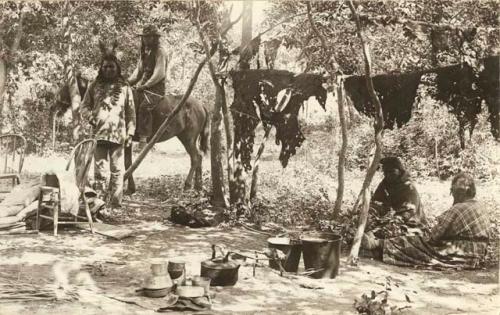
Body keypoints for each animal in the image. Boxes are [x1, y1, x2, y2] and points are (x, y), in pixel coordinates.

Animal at [50, 68, 207, 194]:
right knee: (199, 157)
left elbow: (126, 163)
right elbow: (127, 162)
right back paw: (198, 186)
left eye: (65, 86)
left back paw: (188, 185)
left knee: (195, 158)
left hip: (188, 138)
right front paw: (129, 188)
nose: (53, 105)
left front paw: (126, 188)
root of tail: (201, 105)